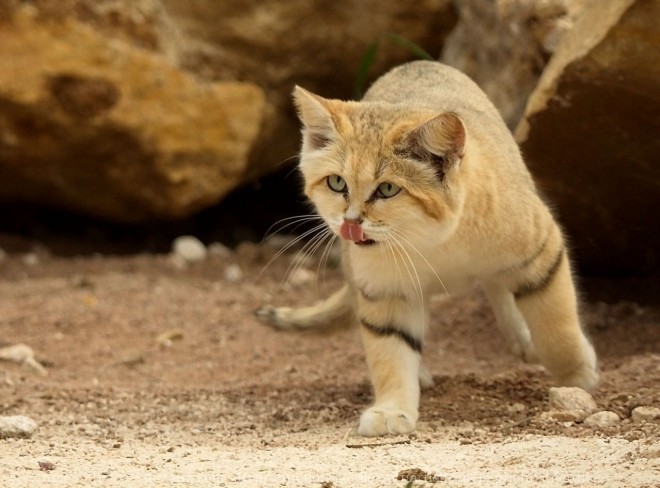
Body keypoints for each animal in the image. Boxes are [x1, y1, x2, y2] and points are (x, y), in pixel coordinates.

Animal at [254, 59, 600, 436]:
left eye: (388, 189)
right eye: (336, 183)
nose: (349, 223)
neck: (432, 241)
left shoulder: (542, 250)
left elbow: (556, 325)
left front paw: (576, 376)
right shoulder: (385, 289)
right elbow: (390, 350)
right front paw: (392, 409)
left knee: (499, 287)